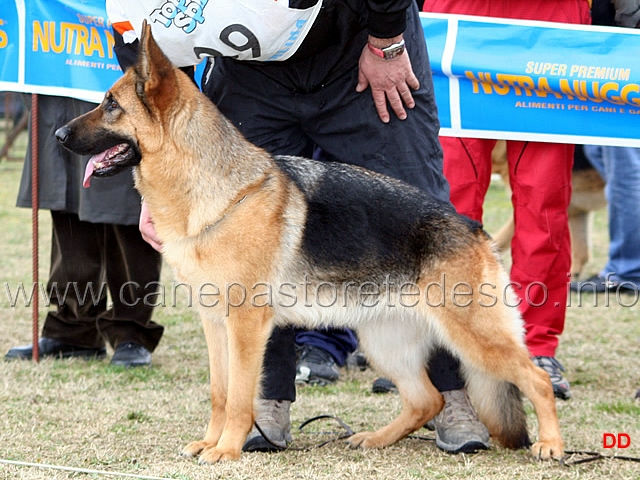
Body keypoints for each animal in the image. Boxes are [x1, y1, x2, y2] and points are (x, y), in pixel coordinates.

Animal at [56, 22, 564, 464]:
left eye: (111, 104)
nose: (59, 135)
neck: (216, 191)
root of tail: (472, 229)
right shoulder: (215, 324)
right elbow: (220, 392)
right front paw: (210, 442)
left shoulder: (246, 326)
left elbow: (240, 396)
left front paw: (227, 449)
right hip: (384, 342)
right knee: (427, 399)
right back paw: (375, 439)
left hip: (473, 337)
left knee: (534, 379)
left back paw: (551, 445)